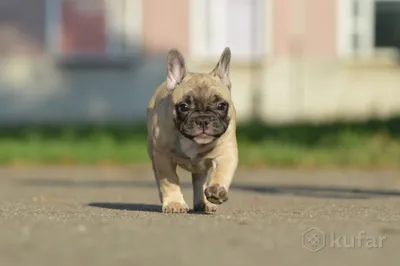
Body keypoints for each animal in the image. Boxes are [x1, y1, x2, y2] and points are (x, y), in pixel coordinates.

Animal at [147, 47, 238, 213]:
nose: (203, 120)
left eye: (221, 105)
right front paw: (174, 203)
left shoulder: (226, 153)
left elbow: (221, 172)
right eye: (184, 106)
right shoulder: (163, 157)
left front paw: (216, 190)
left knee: (199, 180)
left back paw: (204, 202)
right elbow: (170, 181)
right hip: (153, 154)